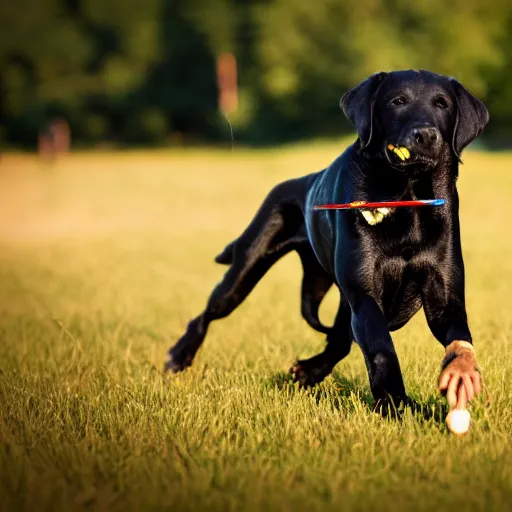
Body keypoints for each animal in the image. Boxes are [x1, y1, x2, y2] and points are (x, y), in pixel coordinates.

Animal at [166, 69, 490, 412]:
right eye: (398, 101)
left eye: (442, 103)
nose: (426, 135)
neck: (407, 197)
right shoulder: (364, 292)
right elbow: (381, 347)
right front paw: (395, 404)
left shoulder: (444, 295)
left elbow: (458, 335)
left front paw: (461, 374)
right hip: (246, 270)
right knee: (208, 312)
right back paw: (178, 356)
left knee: (338, 339)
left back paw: (308, 371)